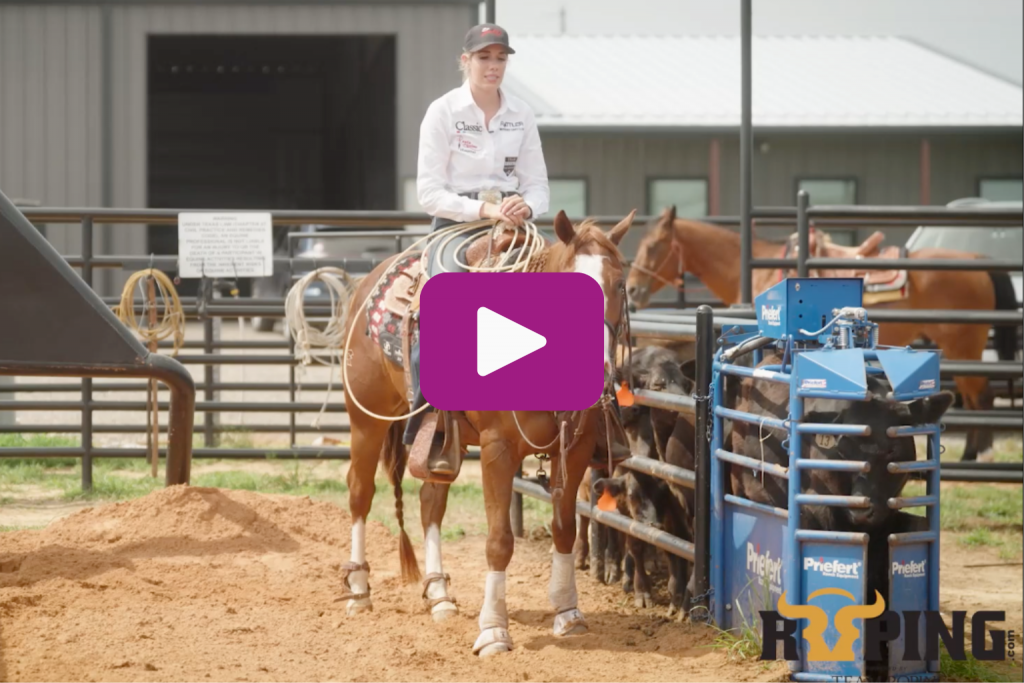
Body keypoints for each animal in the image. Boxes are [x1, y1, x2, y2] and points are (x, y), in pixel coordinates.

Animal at [339, 209, 634, 655]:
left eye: (619, 284)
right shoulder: (498, 450)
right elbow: (499, 541)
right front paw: (493, 630)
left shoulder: (577, 448)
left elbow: (564, 528)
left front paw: (568, 612)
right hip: (366, 419)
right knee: (361, 491)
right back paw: (359, 589)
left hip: (440, 442)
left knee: (430, 502)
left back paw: (439, 595)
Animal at [626, 205, 1019, 462]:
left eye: (653, 246)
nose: (631, 290)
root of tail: (978, 261)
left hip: (963, 345)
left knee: (980, 397)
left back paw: (977, 457)